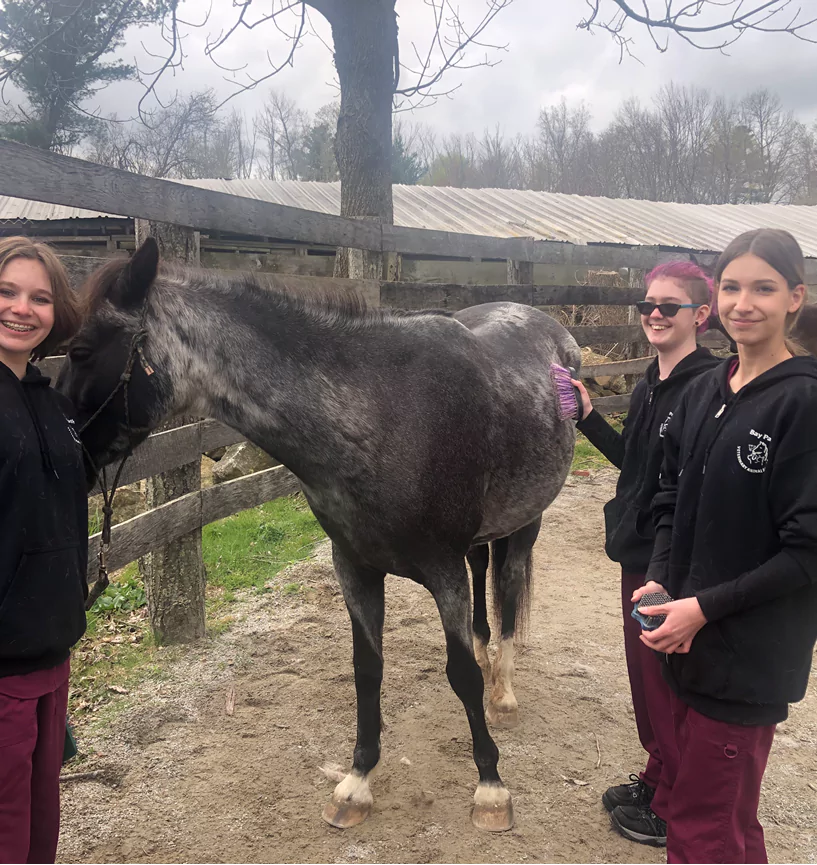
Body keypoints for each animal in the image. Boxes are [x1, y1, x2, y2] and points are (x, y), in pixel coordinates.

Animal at [56, 238, 580, 832]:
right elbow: (368, 671)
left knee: (509, 593)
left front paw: (491, 787)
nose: (64, 450)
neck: (386, 412)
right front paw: (357, 782)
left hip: (525, 525)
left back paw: (505, 692)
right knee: (483, 592)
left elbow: (462, 675)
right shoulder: (354, 567)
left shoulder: (443, 571)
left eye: (80, 350)